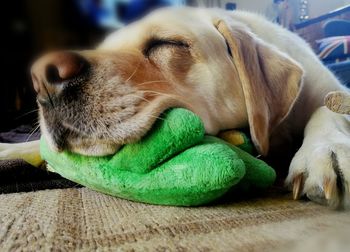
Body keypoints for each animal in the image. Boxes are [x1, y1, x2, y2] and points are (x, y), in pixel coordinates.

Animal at [0, 7, 350, 209]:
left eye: (167, 44)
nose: (42, 78)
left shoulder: (328, 89)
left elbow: (328, 108)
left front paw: (324, 152)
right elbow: (35, 144)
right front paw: (9, 149)